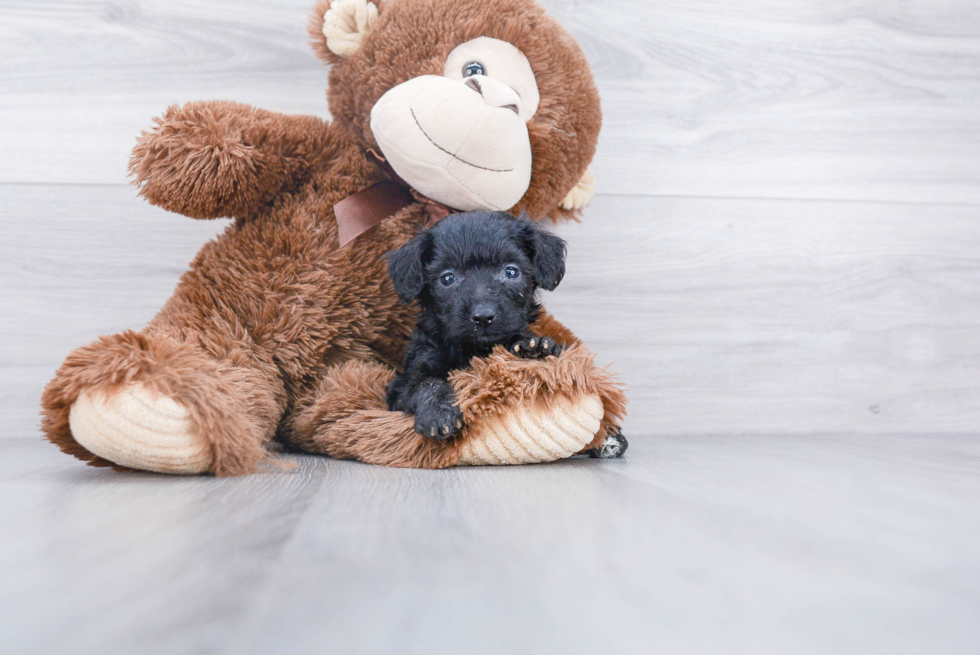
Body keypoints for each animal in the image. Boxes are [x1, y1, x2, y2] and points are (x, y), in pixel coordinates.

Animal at [384, 213, 568, 444]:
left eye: (511, 272)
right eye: (447, 278)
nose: (483, 316)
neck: (474, 349)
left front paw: (534, 347)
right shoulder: (401, 385)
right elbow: (427, 383)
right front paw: (438, 413)